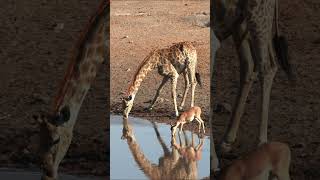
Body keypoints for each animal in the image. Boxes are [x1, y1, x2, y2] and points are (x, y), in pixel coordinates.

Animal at [210, 0, 296, 158]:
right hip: (240, 21)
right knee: (249, 65)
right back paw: (226, 142)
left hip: (258, 14)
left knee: (266, 67)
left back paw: (260, 145)